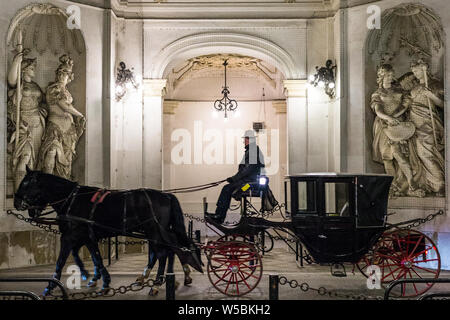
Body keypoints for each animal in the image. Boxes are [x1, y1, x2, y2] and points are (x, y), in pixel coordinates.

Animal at [14, 168, 202, 296]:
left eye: (25, 183)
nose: (16, 202)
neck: (72, 199)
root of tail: (167, 196)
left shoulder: (68, 237)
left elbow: (61, 261)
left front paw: (50, 286)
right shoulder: (88, 237)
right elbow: (94, 258)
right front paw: (97, 279)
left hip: (154, 231)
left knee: (163, 253)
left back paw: (156, 283)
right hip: (155, 232)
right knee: (168, 249)